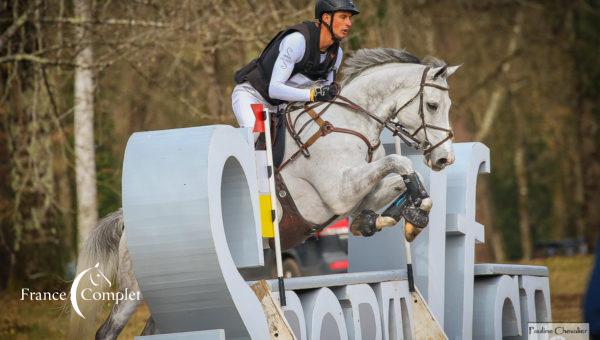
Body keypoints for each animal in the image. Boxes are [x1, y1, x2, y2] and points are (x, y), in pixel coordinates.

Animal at [68, 48, 460, 340]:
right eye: (433, 106)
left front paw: (403, 215)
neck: (351, 124)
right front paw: (412, 212)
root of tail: (129, 220)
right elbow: (399, 162)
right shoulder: (339, 190)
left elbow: (394, 181)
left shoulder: (354, 194)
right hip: (136, 289)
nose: (444, 159)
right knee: (108, 330)